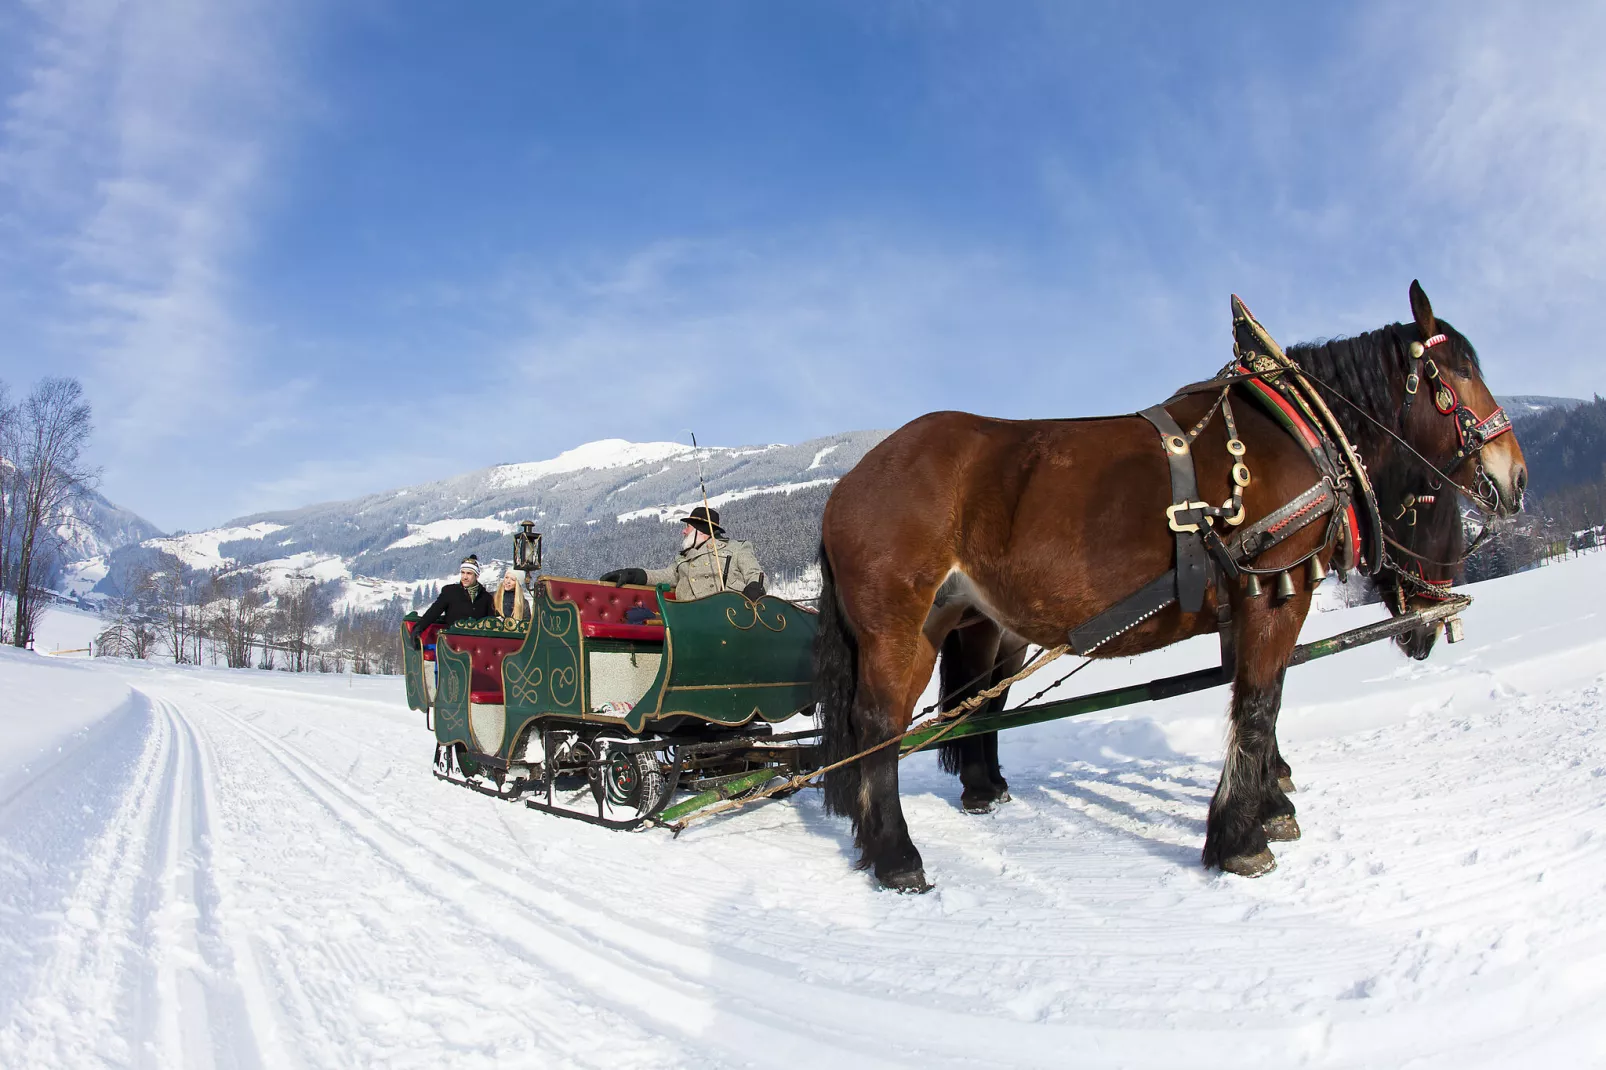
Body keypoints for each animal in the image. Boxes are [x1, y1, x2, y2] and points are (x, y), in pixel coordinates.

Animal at [815, 282, 1528, 893]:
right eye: (1460, 373)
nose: (1515, 477)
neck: (1299, 430)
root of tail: (849, 483)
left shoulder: (1250, 600)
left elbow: (1252, 702)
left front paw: (1269, 802)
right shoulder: (1277, 592)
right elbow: (1259, 705)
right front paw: (1241, 839)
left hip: (948, 622)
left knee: (930, 717)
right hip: (897, 627)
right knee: (879, 725)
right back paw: (897, 855)